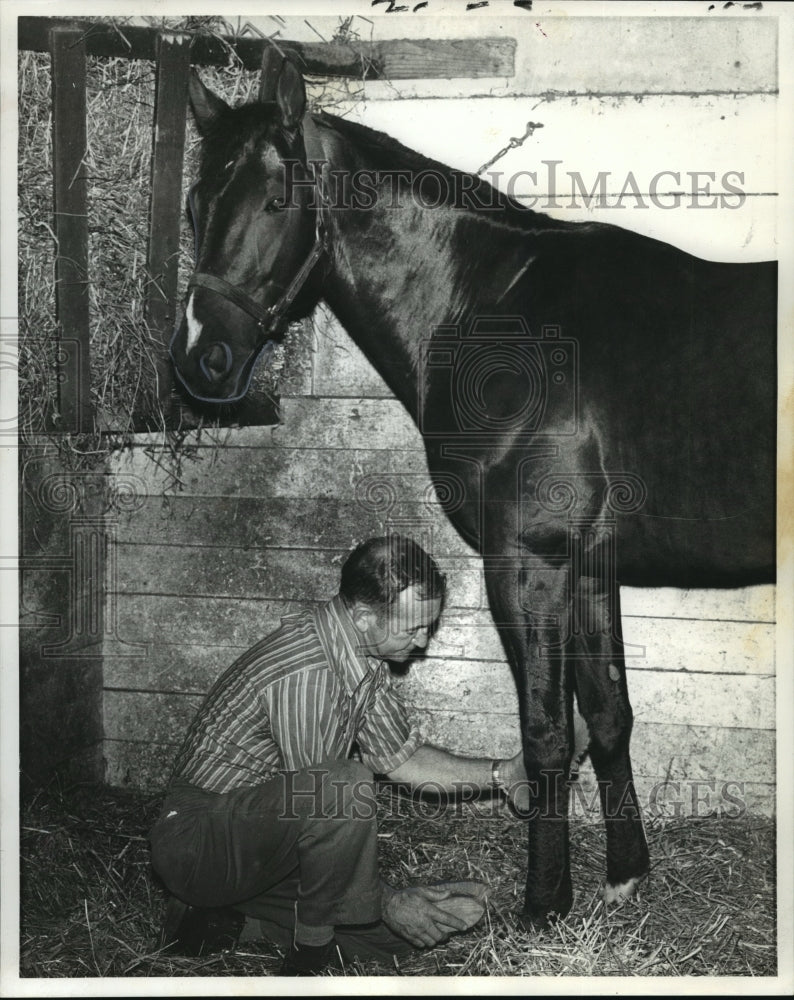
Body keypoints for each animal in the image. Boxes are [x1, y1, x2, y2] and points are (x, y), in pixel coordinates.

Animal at [169, 58, 772, 924]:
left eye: (276, 200)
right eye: (194, 206)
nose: (200, 359)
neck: (499, 314)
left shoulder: (530, 561)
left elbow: (547, 734)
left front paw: (544, 904)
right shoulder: (590, 565)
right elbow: (609, 716)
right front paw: (625, 876)